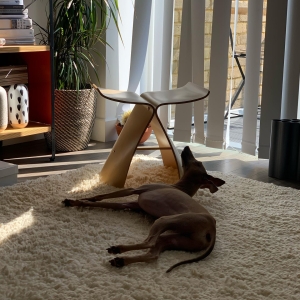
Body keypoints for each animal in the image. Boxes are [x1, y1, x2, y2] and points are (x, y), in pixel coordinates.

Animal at [63, 146, 224, 274]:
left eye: (198, 162)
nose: (186, 147)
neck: (179, 187)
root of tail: (213, 230)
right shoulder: (130, 205)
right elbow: (107, 203)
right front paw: (75, 201)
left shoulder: (135, 190)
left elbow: (102, 196)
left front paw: (84, 197)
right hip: (176, 239)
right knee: (153, 254)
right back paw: (121, 260)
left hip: (168, 220)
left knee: (150, 242)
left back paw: (118, 249)